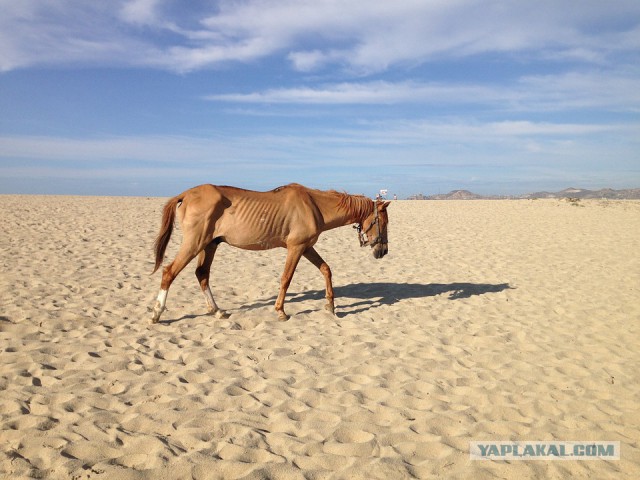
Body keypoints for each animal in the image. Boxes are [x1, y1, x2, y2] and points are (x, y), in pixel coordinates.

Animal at [151, 183, 390, 322]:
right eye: (384, 222)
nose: (383, 251)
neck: (315, 206)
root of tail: (186, 194)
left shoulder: (306, 247)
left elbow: (326, 269)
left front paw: (330, 306)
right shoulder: (296, 248)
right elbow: (286, 279)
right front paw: (280, 311)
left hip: (209, 245)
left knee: (202, 274)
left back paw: (217, 311)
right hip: (195, 243)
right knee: (169, 272)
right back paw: (157, 313)